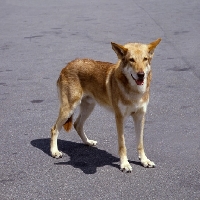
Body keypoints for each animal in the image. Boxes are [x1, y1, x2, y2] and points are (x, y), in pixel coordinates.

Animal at [50, 38, 161, 172]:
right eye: (131, 60)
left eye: (145, 59)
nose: (141, 74)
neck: (135, 92)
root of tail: (66, 66)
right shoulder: (119, 118)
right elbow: (122, 145)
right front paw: (124, 164)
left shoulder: (140, 117)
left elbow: (140, 143)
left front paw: (144, 161)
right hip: (69, 109)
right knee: (54, 129)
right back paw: (54, 152)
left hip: (89, 107)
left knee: (77, 125)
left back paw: (88, 142)